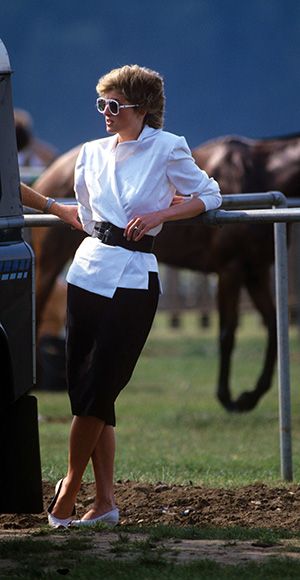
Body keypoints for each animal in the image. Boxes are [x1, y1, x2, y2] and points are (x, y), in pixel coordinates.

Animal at [29, 133, 300, 412]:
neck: (260, 172)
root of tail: (49, 175)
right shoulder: (230, 269)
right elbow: (227, 332)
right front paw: (228, 397)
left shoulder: (255, 271)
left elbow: (273, 326)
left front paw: (251, 395)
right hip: (49, 262)